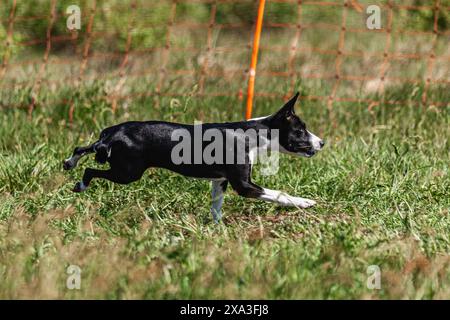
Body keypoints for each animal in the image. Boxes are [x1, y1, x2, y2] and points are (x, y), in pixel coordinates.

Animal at [62, 92, 324, 221]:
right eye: (300, 131)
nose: (322, 142)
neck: (250, 135)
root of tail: (112, 133)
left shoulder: (220, 181)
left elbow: (216, 208)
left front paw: (215, 230)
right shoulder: (244, 185)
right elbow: (280, 194)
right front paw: (304, 202)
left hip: (118, 164)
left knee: (81, 148)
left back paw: (69, 162)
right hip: (128, 173)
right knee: (90, 170)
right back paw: (80, 184)